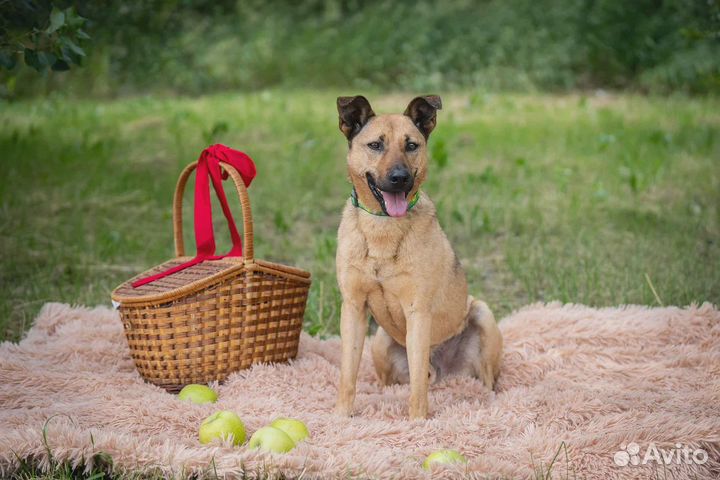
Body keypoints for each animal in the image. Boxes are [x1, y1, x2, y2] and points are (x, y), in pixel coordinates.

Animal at [334, 95, 504, 418]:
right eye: (376, 145)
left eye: (411, 145)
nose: (400, 179)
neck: (383, 228)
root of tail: (442, 373)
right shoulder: (353, 307)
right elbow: (347, 374)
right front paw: (343, 417)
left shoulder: (417, 311)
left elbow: (417, 386)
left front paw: (417, 421)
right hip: (380, 340)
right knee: (391, 381)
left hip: (482, 314)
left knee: (485, 382)